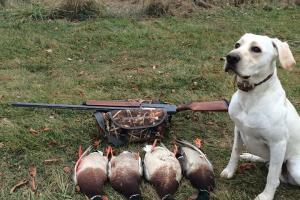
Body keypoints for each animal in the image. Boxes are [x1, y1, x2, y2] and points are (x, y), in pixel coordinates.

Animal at [220, 33, 298, 200]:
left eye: (256, 49)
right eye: (237, 45)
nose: (230, 57)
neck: (250, 95)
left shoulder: (278, 143)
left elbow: (272, 175)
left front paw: (266, 195)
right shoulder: (238, 130)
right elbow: (234, 152)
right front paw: (229, 171)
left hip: (294, 167)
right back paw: (251, 156)